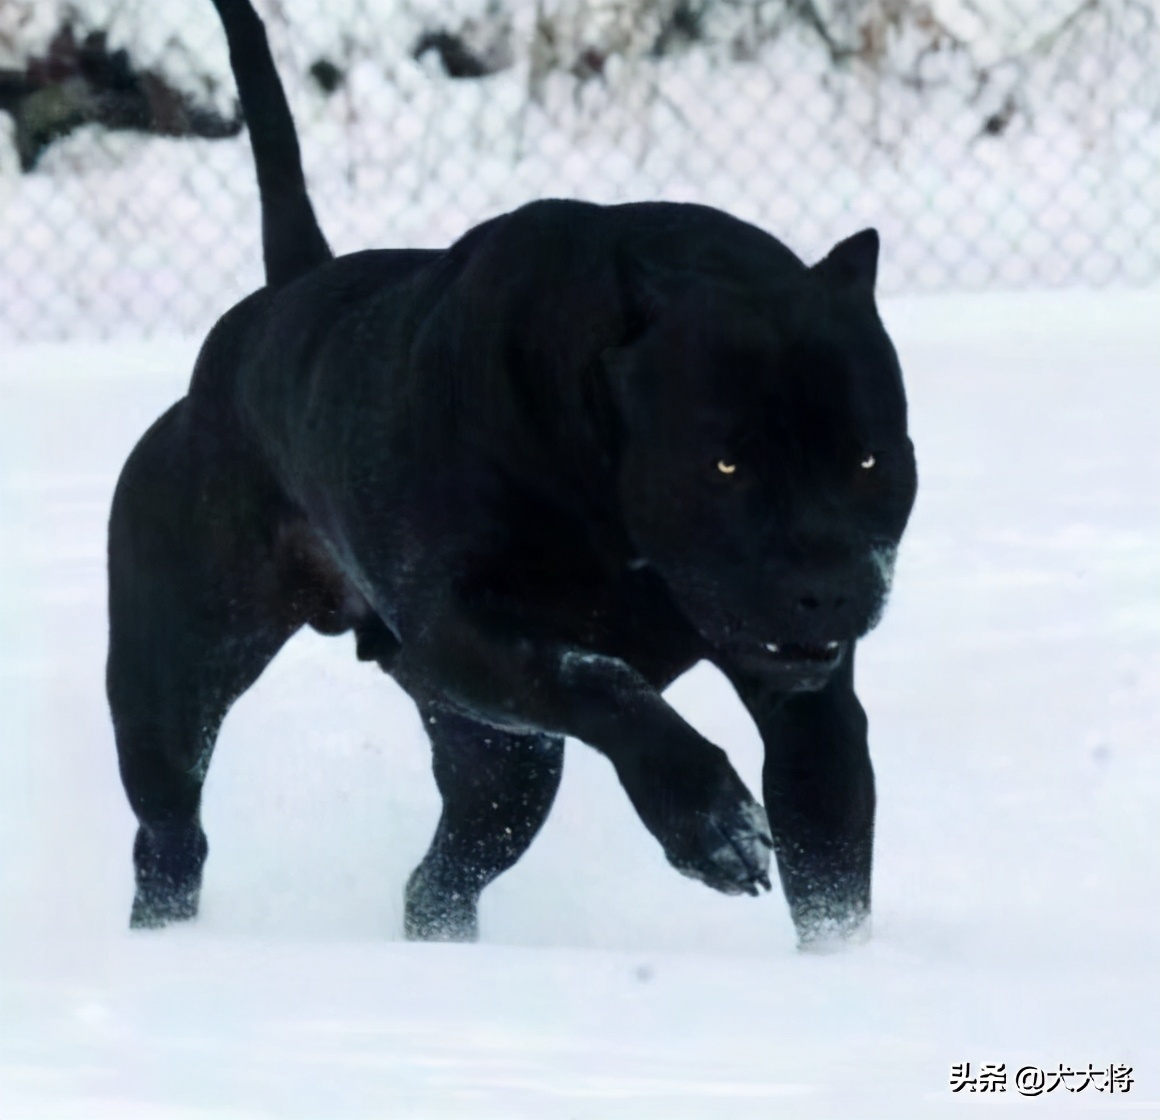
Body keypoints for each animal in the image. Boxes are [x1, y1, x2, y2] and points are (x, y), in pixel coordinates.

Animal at [110, 0, 914, 946]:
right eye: (724, 463)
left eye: (868, 458)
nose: (830, 588)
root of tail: (280, 300)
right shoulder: (466, 628)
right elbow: (601, 679)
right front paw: (710, 820)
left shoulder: (812, 713)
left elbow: (830, 875)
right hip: (177, 683)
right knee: (171, 834)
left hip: (498, 760)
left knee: (443, 878)